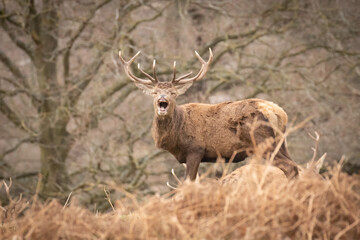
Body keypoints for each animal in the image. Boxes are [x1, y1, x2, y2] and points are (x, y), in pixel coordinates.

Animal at [118, 48, 298, 180]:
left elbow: (187, 183)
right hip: (281, 142)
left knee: (289, 167)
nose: (163, 99)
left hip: (262, 140)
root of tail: (280, 113)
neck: (176, 136)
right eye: (155, 92)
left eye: (173, 93)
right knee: (294, 165)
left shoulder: (195, 149)